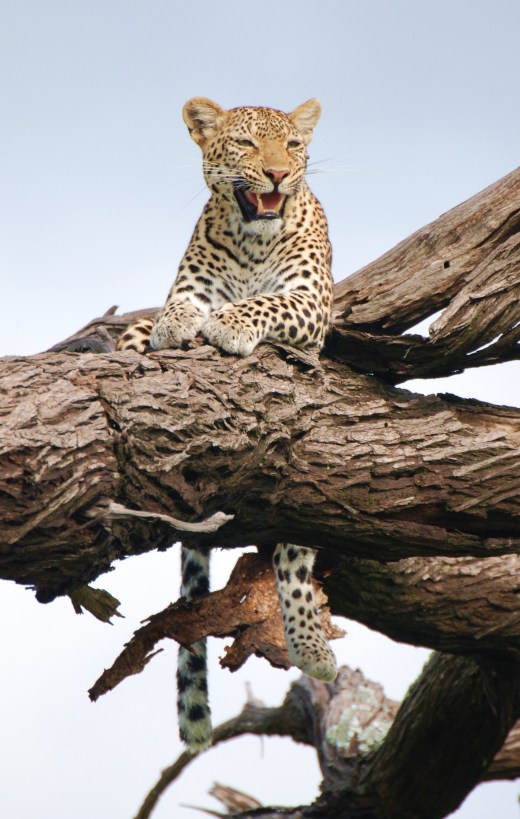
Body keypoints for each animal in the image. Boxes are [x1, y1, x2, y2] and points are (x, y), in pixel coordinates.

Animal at [117, 97, 338, 752]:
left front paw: (231, 324)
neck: (253, 242)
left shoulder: (308, 304)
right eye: (244, 143)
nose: (276, 175)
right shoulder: (185, 289)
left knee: (295, 564)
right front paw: (181, 326)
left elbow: (265, 303)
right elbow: (175, 311)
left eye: (293, 145)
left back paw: (312, 648)